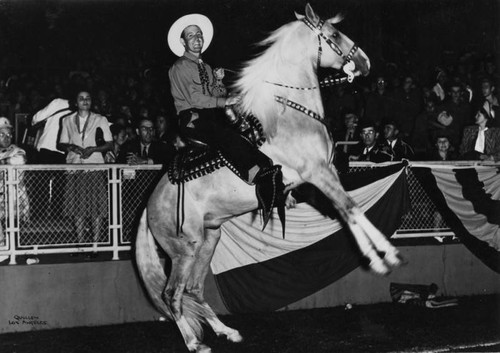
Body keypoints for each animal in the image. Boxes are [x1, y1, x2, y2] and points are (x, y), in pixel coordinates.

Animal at [134, 4, 402, 350]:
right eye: (333, 34)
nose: (366, 62)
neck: (289, 114)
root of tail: (150, 204)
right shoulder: (318, 173)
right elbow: (352, 208)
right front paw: (385, 256)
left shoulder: (322, 177)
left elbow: (347, 213)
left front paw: (377, 255)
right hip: (185, 249)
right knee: (172, 294)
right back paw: (194, 342)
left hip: (208, 240)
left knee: (193, 289)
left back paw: (228, 331)